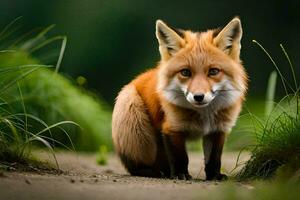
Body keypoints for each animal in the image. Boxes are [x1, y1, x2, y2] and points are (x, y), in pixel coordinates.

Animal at [111, 16, 247, 180]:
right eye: (185, 72)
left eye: (213, 71)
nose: (198, 97)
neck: (204, 115)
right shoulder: (172, 128)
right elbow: (181, 157)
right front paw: (181, 174)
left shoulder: (218, 130)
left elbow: (213, 159)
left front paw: (214, 176)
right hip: (139, 129)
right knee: (135, 167)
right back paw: (155, 172)